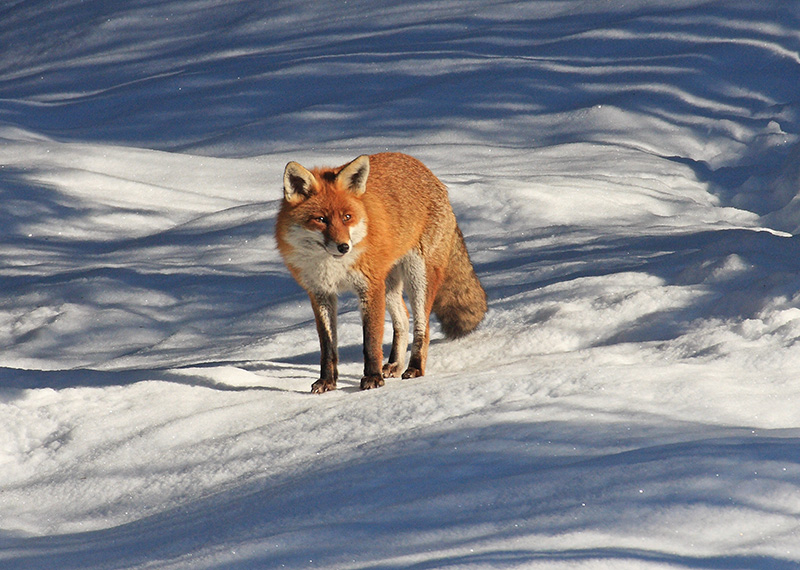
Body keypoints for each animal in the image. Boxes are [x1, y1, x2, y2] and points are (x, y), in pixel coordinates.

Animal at [276, 151, 488, 390]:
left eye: (347, 217)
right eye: (320, 219)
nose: (344, 247)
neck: (331, 266)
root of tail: (429, 173)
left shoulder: (369, 287)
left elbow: (371, 341)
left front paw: (372, 377)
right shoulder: (321, 293)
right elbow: (328, 346)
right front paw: (327, 381)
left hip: (417, 276)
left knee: (422, 327)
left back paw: (415, 368)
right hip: (389, 284)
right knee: (403, 318)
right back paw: (395, 364)